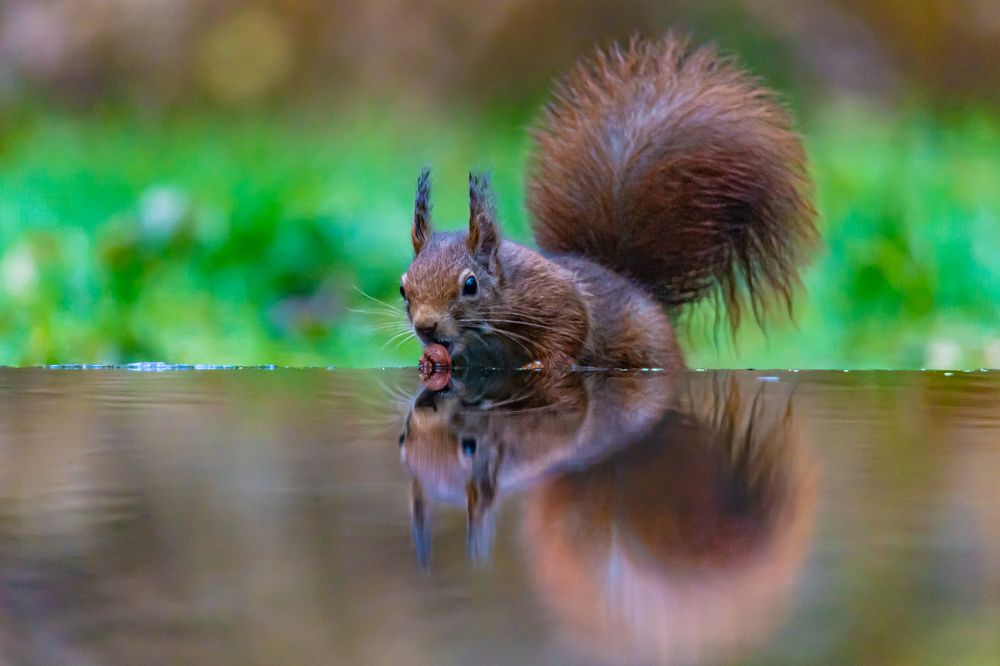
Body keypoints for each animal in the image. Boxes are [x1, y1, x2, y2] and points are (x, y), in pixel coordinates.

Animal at [399, 35, 818, 369]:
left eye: (470, 285)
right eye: (404, 288)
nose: (425, 327)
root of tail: (635, 285)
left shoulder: (553, 295)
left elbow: (574, 325)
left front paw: (545, 364)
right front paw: (428, 362)